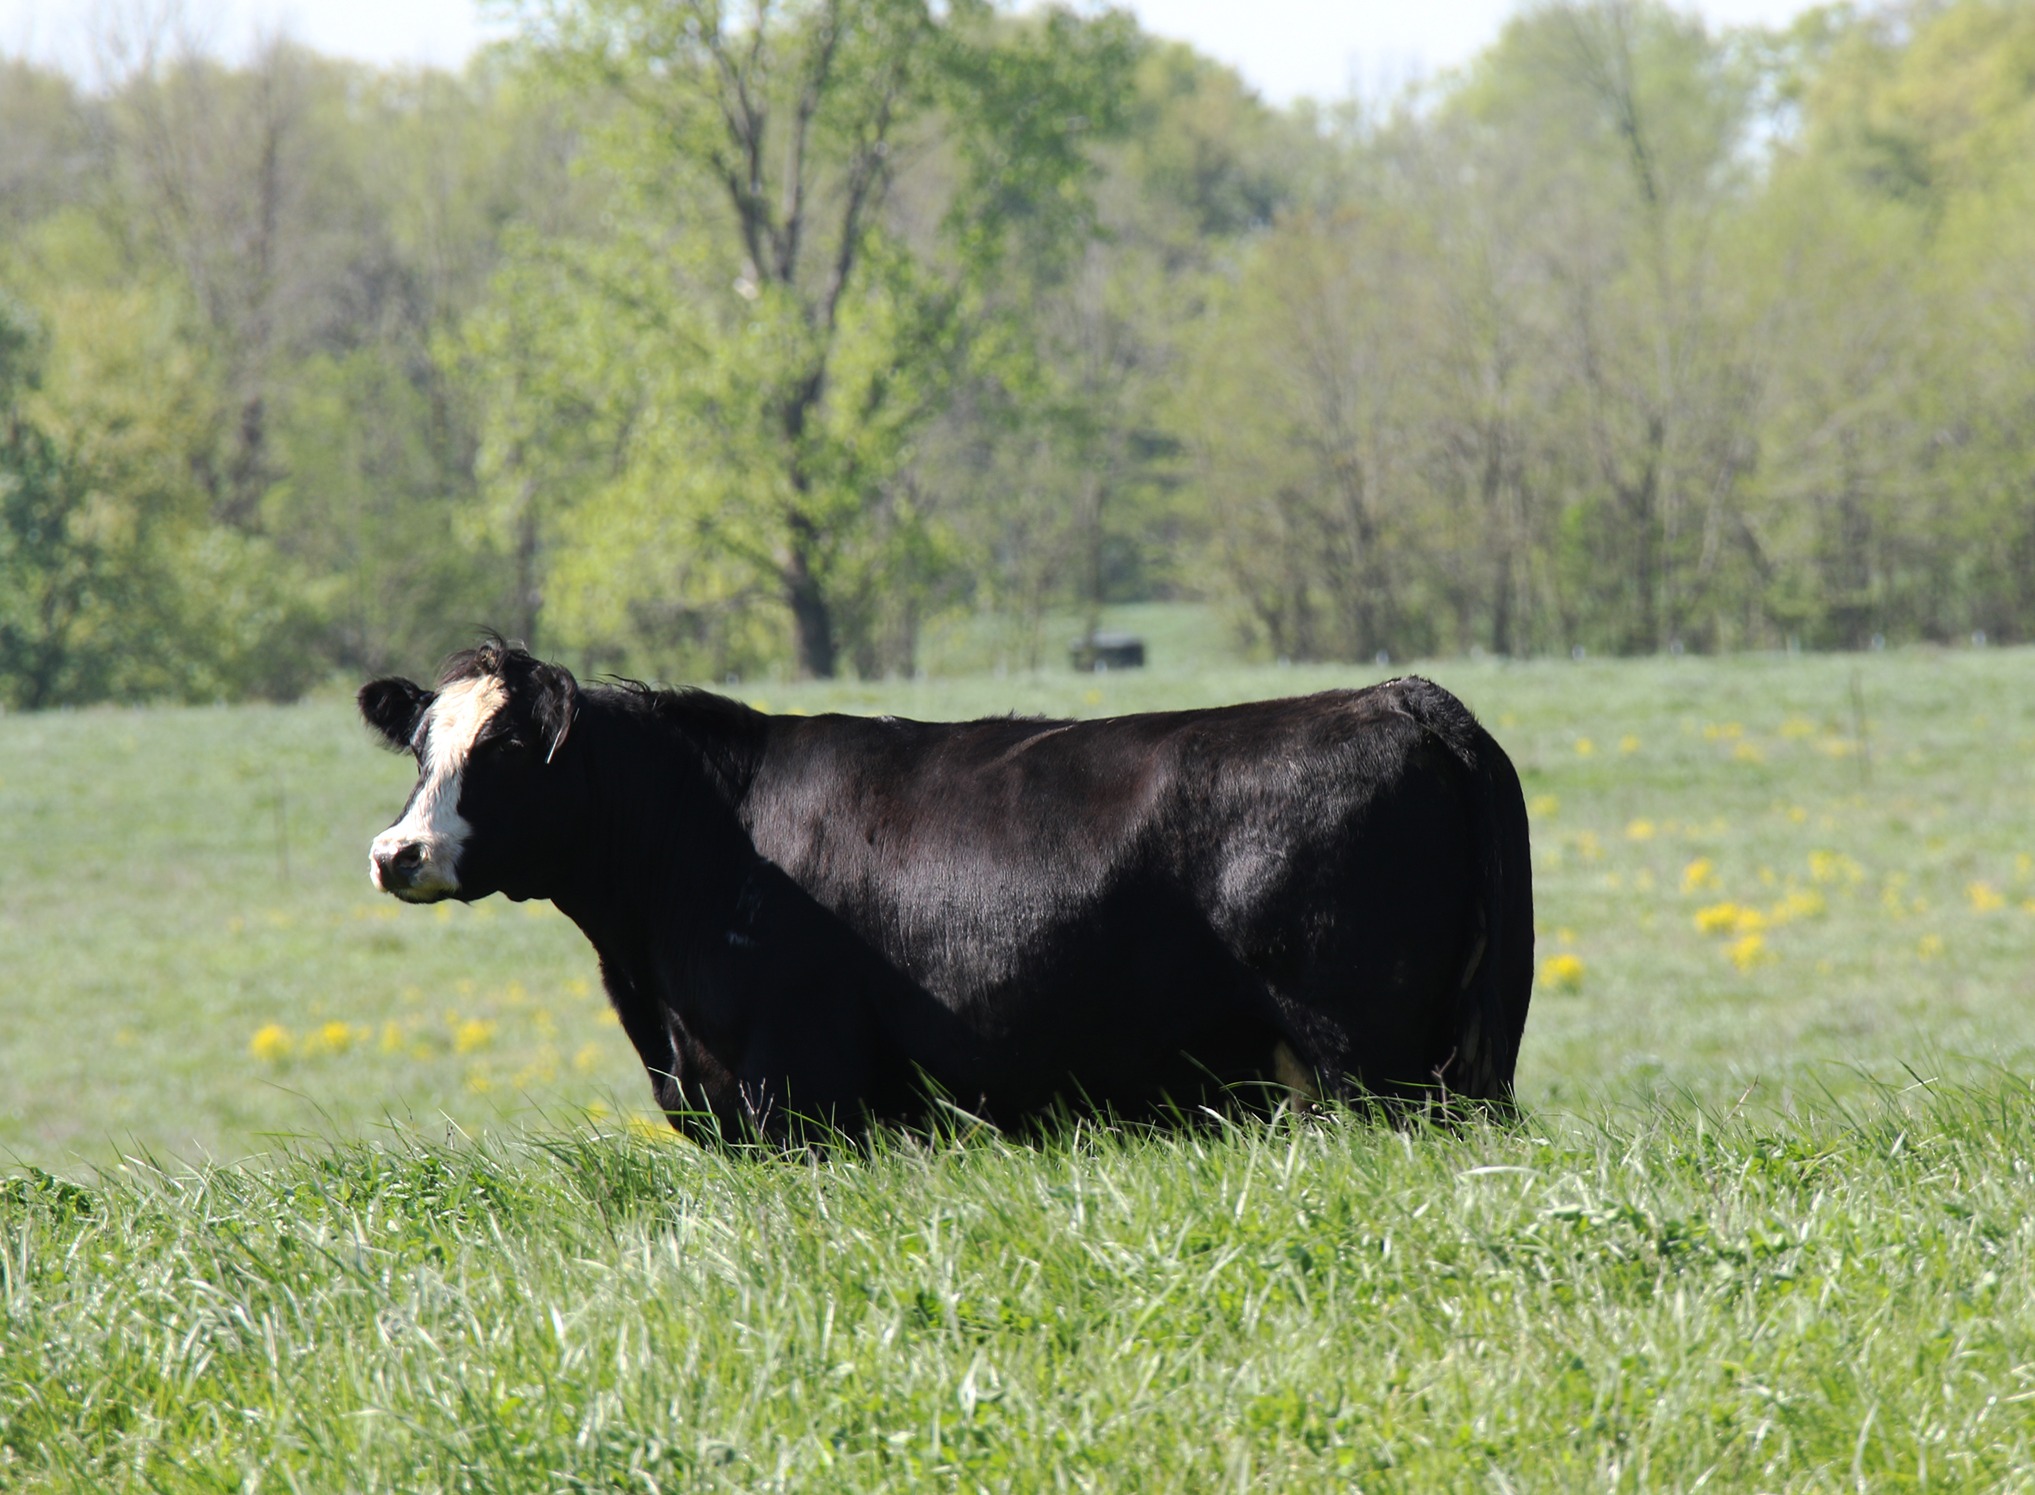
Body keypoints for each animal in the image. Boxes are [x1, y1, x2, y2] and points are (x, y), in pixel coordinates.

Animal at [358, 638, 1530, 1139]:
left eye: (509, 750)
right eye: (418, 745)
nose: (396, 851)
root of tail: (1389, 693)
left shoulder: (800, 1087)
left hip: (1370, 1060)